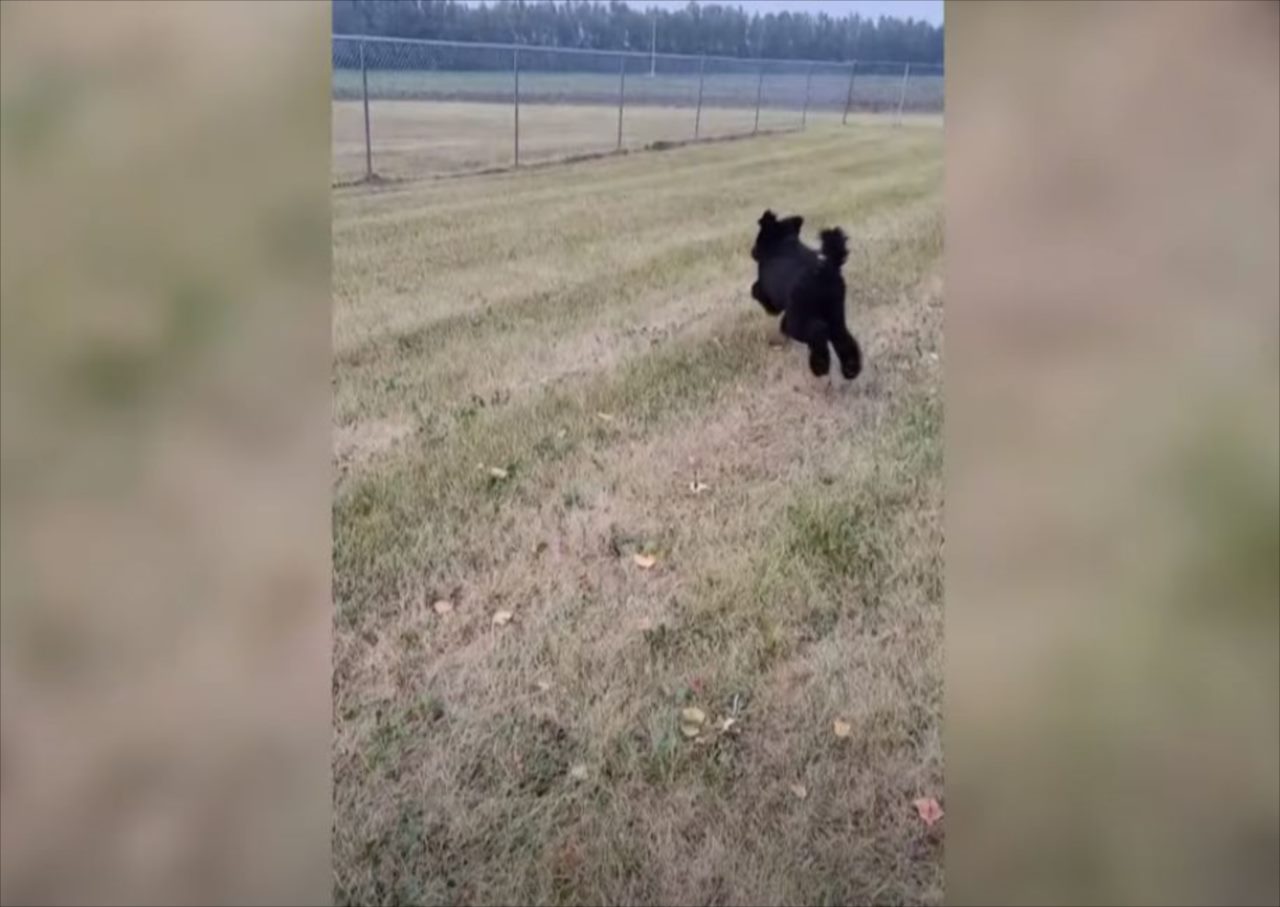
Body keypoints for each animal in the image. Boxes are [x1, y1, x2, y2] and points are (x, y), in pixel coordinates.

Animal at [747, 208, 865, 378]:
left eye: (758, 238)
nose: (752, 251)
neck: (783, 243)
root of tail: (825, 270)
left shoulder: (771, 292)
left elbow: (757, 290)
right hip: (835, 313)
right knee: (842, 338)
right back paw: (850, 368)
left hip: (800, 320)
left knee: (817, 332)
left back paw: (820, 365)